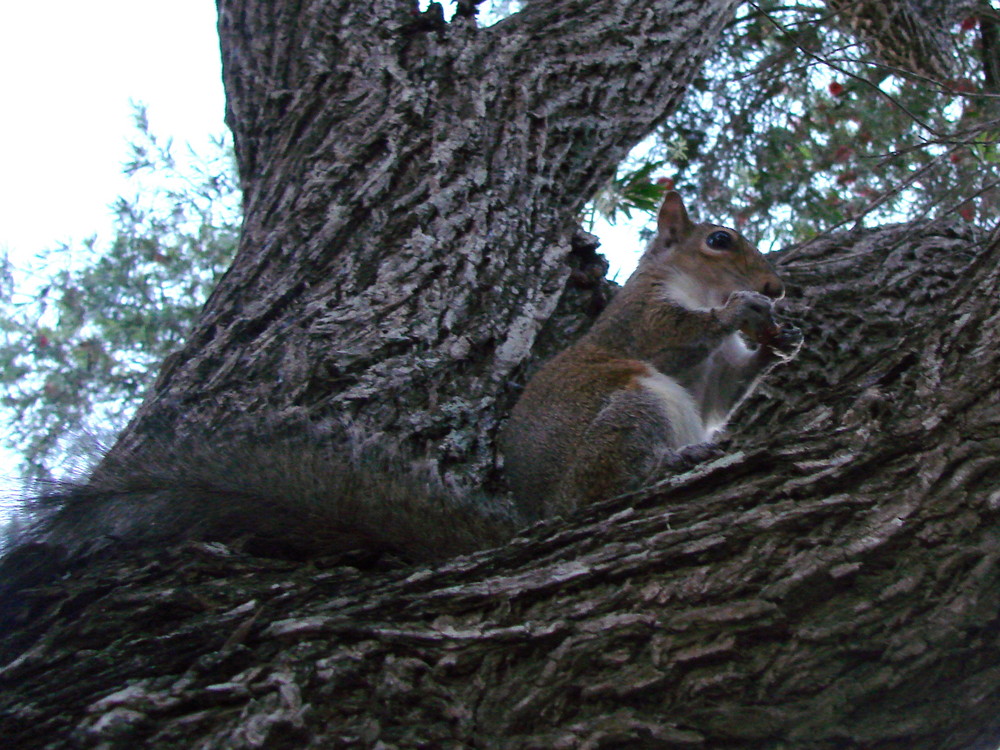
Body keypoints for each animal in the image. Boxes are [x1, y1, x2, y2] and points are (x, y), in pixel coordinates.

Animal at [504, 191, 800, 516]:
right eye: (719, 240)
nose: (775, 289)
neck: (704, 294)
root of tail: (544, 510)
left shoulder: (720, 366)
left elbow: (720, 395)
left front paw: (780, 344)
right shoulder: (639, 315)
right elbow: (672, 334)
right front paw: (736, 309)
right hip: (631, 412)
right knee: (604, 487)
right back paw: (674, 461)